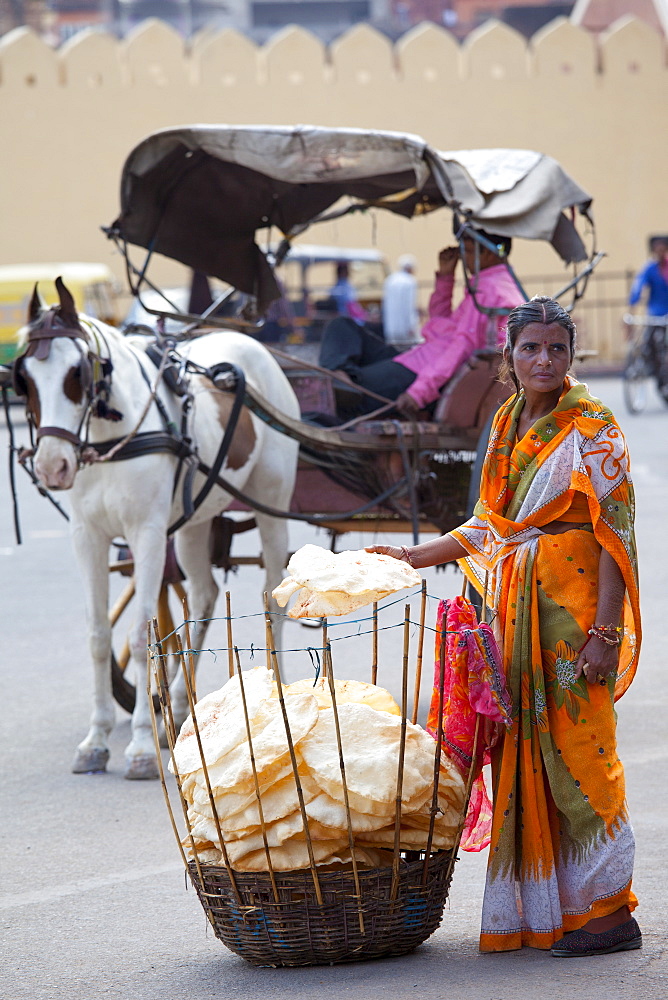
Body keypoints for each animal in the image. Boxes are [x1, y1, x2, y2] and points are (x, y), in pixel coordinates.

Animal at [15, 280, 298, 780]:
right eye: (24, 378)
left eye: (77, 372)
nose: (52, 466)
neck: (113, 437)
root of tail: (251, 344)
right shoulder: (87, 537)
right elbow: (98, 634)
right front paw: (97, 740)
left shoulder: (146, 533)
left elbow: (138, 634)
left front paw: (142, 747)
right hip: (194, 525)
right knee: (202, 596)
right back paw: (182, 709)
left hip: (272, 507)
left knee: (272, 597)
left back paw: (272, 691)